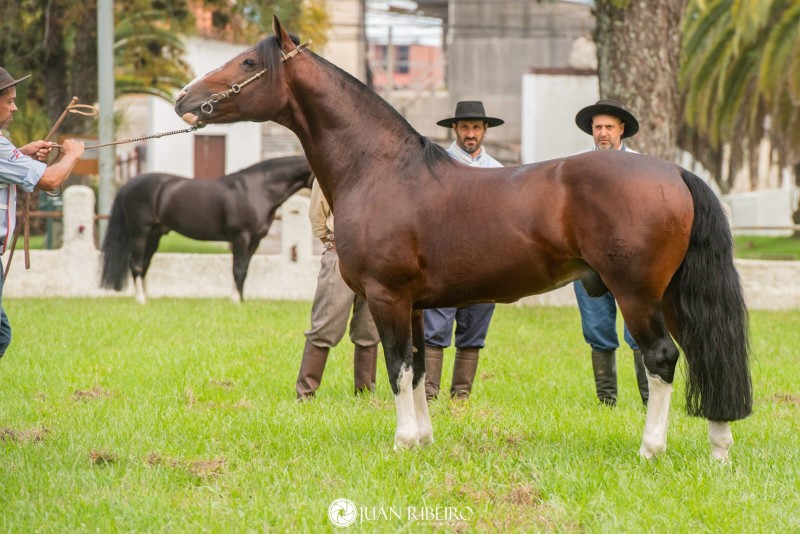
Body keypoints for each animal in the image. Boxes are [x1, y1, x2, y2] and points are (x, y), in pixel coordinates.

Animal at [100, 155, 313, 304]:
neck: (257, 189)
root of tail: (128, 184)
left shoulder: (255, 241)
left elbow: (245, 269)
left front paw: (240, 299)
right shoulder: (241, 238)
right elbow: (238, 269)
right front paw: (235, 301)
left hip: (155, 234)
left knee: (144, 263)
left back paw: (147, 296)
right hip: (140, 233)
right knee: (135, 264)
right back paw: (141, 299)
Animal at [174, 16, 752, 459]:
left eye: (249, 63)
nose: (184, 98)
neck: (380, 170)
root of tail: (674, 172)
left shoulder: (386, 295)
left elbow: (398, 366)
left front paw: (403, 442)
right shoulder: (410, 302)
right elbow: (419, 365)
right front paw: (424, 439)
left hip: (636, 293)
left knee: (662, 358)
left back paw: (651, 449)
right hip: (671, 293)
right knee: (704, 352)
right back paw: (719, 448)